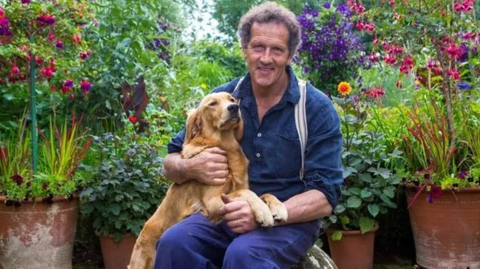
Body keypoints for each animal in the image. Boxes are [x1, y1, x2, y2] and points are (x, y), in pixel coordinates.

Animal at [127, 91, 288, 266]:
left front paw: (278, 207)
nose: (234, 107)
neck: (225, 145)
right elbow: (246, 193)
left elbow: (264, 193)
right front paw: (263, 211)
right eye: (212, 104)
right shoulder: (213, 201)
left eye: (231, 99)